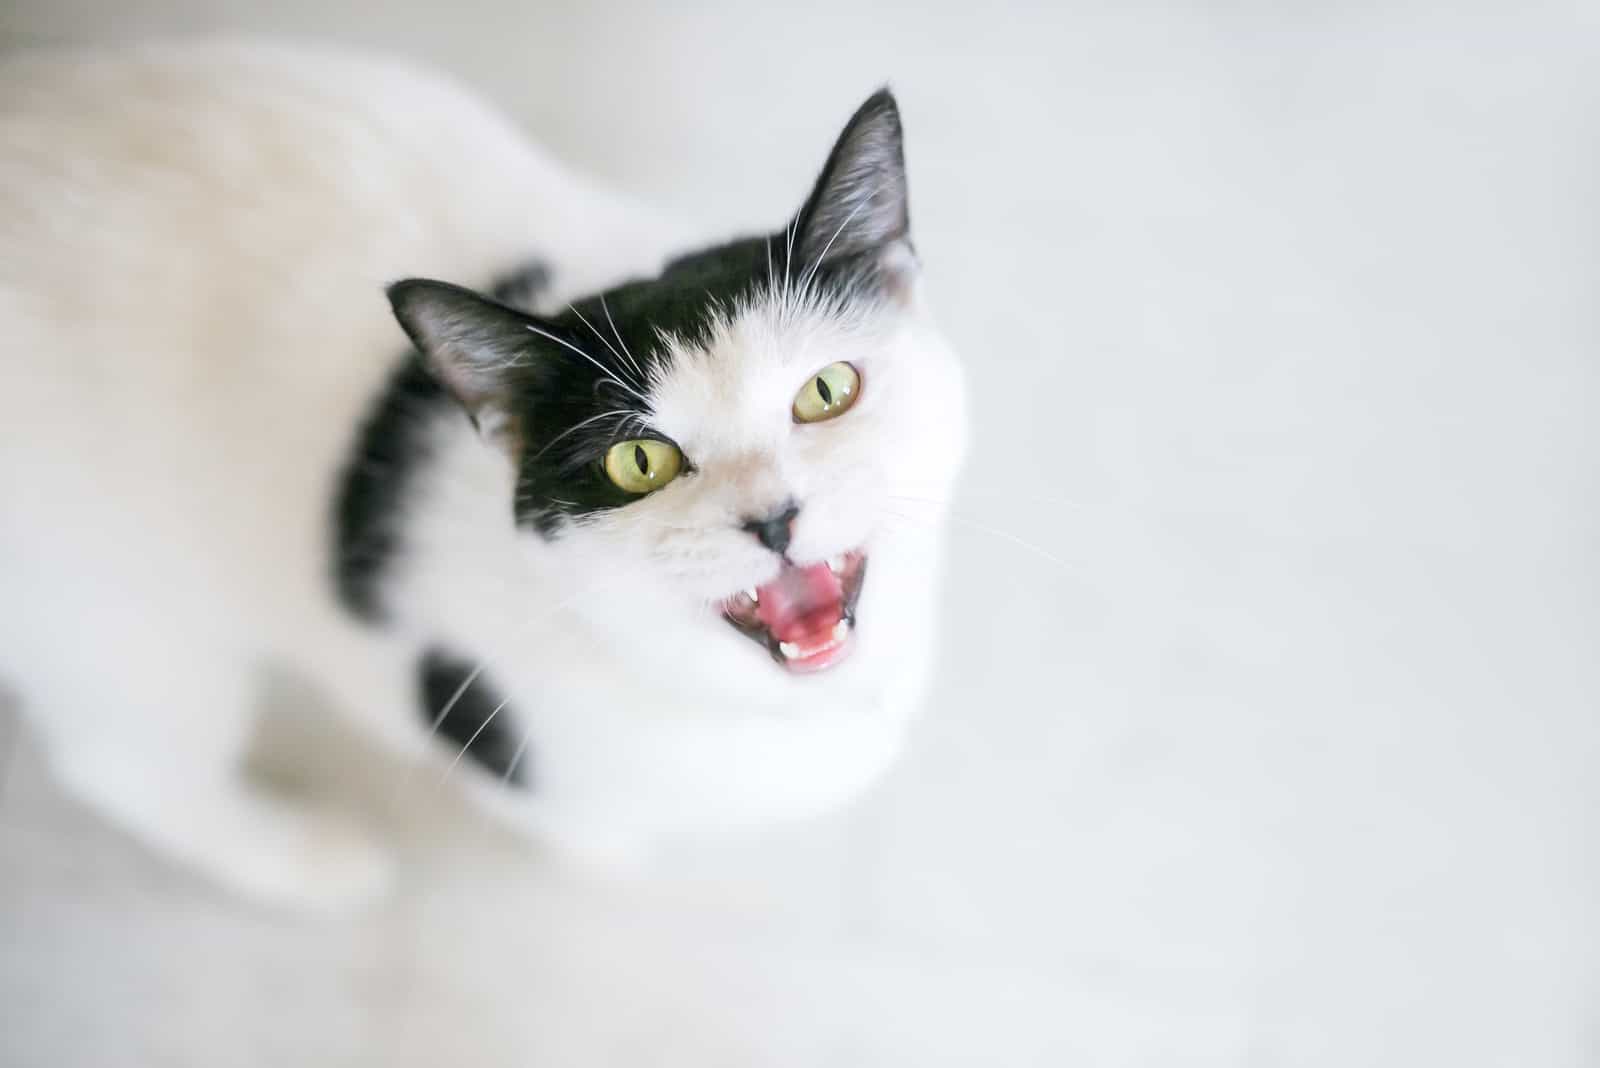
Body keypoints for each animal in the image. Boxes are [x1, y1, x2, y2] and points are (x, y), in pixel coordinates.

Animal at [0, 41, 960, 908]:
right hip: (119, 618)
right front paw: (612, 862)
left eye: (826, 391)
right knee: (123, 764)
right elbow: (575, 825)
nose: (773, 517)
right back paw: (310, 864)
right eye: (637, 461)